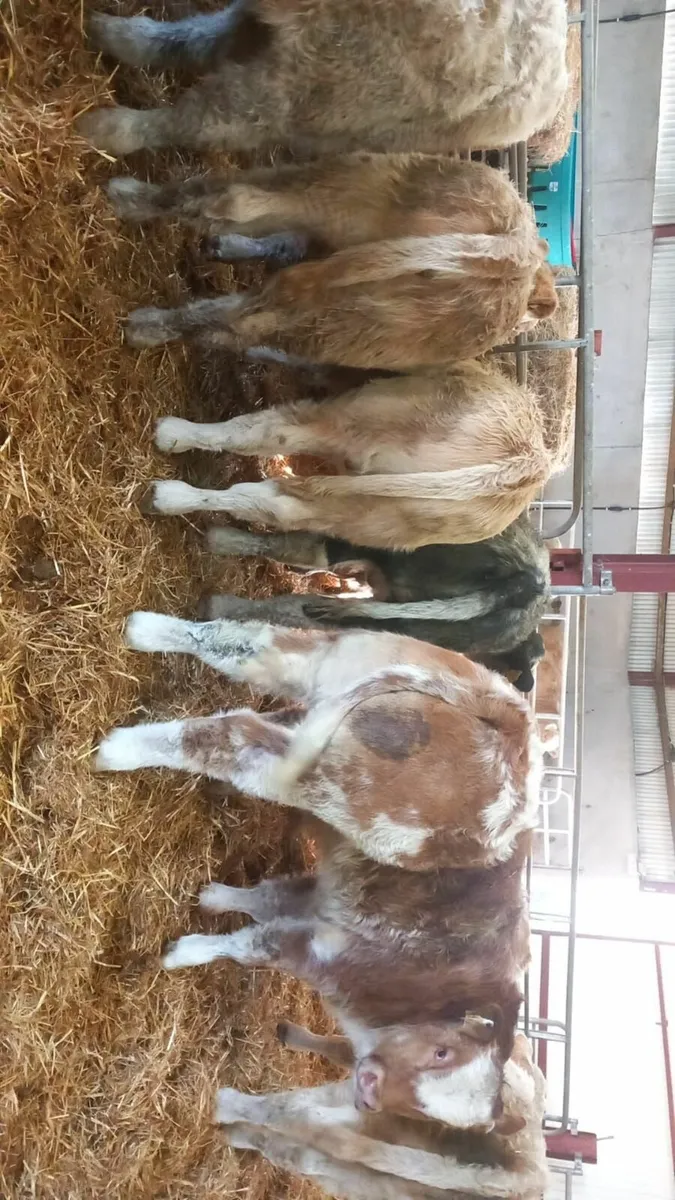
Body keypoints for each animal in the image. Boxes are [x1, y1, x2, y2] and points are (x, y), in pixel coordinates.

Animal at [77, 0, 568, 159]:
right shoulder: (263, 29)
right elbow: (188, 41)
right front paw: (113, 35)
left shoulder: (286, 93)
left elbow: (197, 120)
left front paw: (107, 130)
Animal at [142, 361, 556, 547]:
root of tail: (528, 462)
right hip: (383, 515)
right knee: (279, 504)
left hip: (362, 417)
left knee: (264, 440)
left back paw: (171, 471)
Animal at [213, 1031, 549, 1198]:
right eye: (441, 1053)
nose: (371, 1086)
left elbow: (288, 1108)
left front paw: (225, 1105)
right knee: (306, 1156)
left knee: (307, 1143)